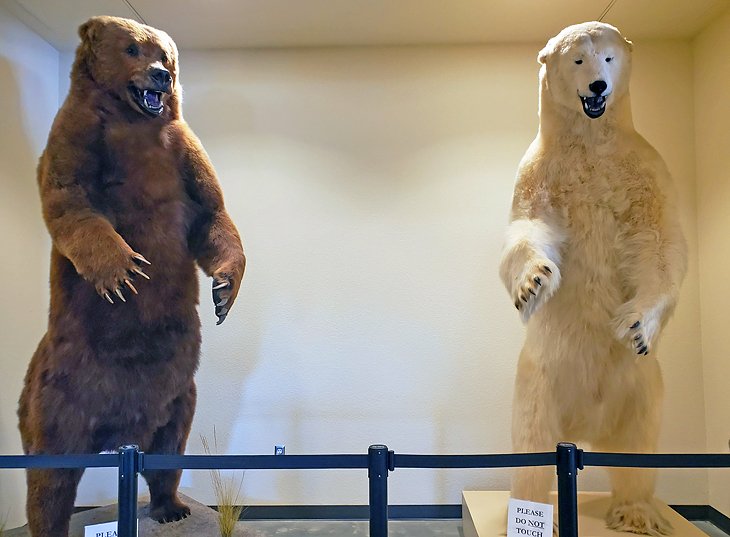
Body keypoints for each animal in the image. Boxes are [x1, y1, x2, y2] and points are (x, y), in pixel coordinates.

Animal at [16, 14, 245, 532]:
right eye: (133, 48)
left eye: (165, 53)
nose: (162, 75)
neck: (134, 122)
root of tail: (117, 441)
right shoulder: (76, 133)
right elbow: (70, 201)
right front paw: (127, 271)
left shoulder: (182, 148)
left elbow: (212, 213)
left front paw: (224, 291)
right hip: (57, 398)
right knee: (50, 479)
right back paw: (50, 524)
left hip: (179, 394)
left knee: (168, 452)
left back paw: (172, 508)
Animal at [498, 22, 684, 536]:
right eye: (577, 59)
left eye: (608, 57)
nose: (598, 87)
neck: (590, 143)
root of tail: (583, 428)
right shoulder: (539, 171)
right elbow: (527, 226)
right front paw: (533, 283)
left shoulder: (643, 167)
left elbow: (660, 243)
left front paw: (636, 325)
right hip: (539, 381)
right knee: (532, 445)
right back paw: (531, 514)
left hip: (642, 388)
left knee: (638, 450)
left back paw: (637, 512)